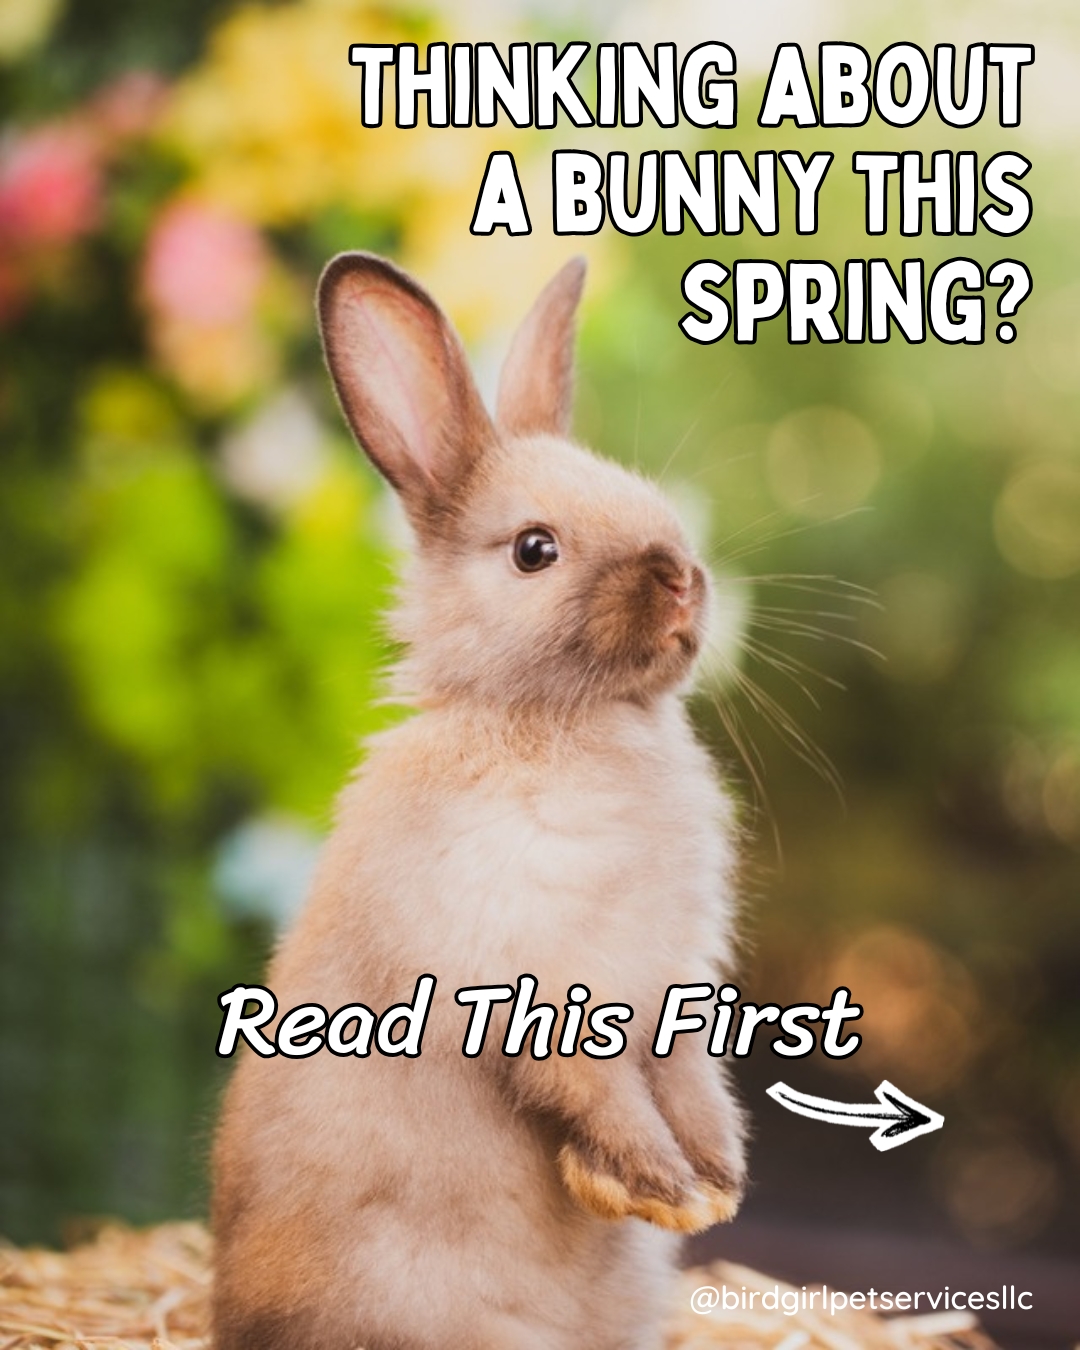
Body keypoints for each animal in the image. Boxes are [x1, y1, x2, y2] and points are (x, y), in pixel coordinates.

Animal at [211, 252, 747, 1350]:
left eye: (647, 497)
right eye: (534, 549)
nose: (680, 578)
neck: (559, 724)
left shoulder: (674, 983)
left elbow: (689, 1084)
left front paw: (714, 1184)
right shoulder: (539, 983)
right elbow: (602, 1093)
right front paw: (664, 1186)